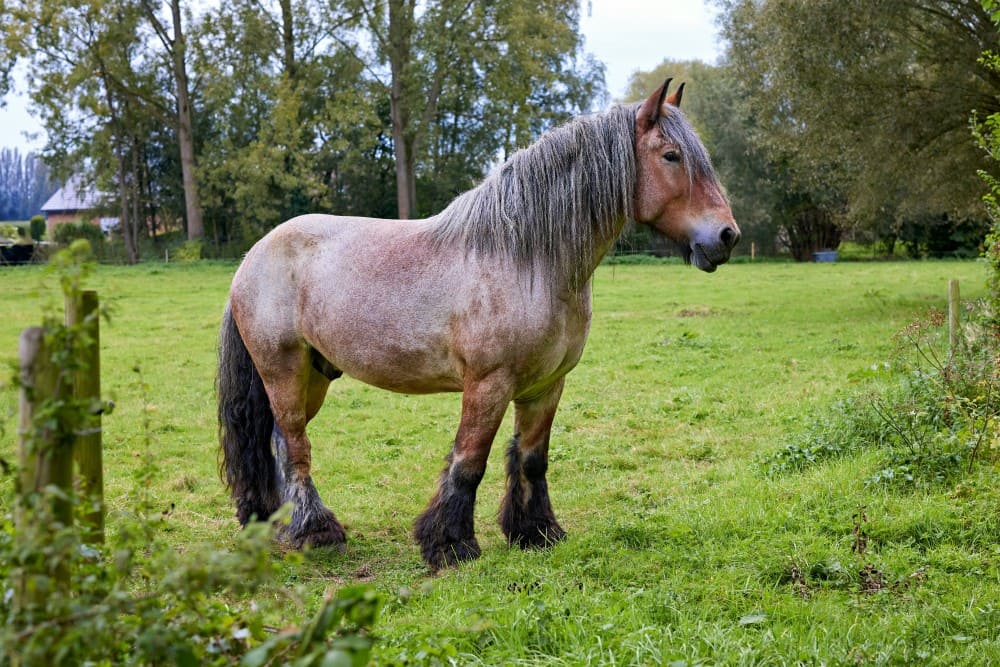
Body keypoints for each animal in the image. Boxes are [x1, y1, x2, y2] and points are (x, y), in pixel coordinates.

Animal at [218, 79, 740, 569]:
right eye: (671, 156)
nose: (727, 237)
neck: (526, 259)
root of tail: (254, 255)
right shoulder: (488, 384)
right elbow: (468, 462)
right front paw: (450, 544)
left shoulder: (546, 386)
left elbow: (532, 458)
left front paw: (536, 532)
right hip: (283, 370)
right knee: (294, 446)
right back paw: (315, 532)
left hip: (316, 375)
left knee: (273, 442)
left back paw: (270, 521)